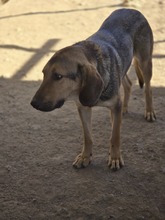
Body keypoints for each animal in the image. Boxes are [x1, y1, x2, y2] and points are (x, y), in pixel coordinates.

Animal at [31, 8, 156, 170]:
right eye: (43, 73)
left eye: (58, 76)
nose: (33, 103)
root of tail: (131, 9)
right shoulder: (83, 107)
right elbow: (87, 136)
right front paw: (85, 157)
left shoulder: (114, 105)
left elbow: (115, 136)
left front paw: (115, 158)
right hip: (123, 69)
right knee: (128, 84)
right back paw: (124, 108)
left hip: (145, 61)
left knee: (148, 89)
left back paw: (149, 111)